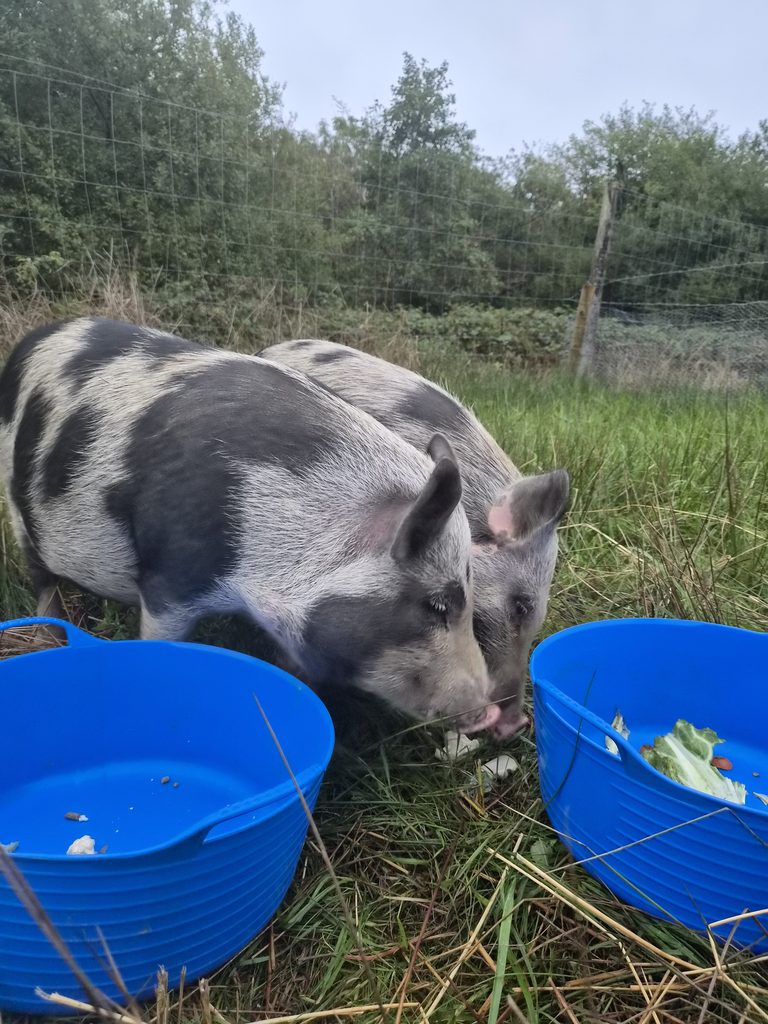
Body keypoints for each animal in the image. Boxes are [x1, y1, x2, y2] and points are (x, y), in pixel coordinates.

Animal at [0, 317, 501, 734]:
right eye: (437, 605)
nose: (490, 712)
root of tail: (31, 339)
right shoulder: (170, 579)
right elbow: (163, 636)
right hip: (17, 507)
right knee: (40, 575)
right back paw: (47, 636)